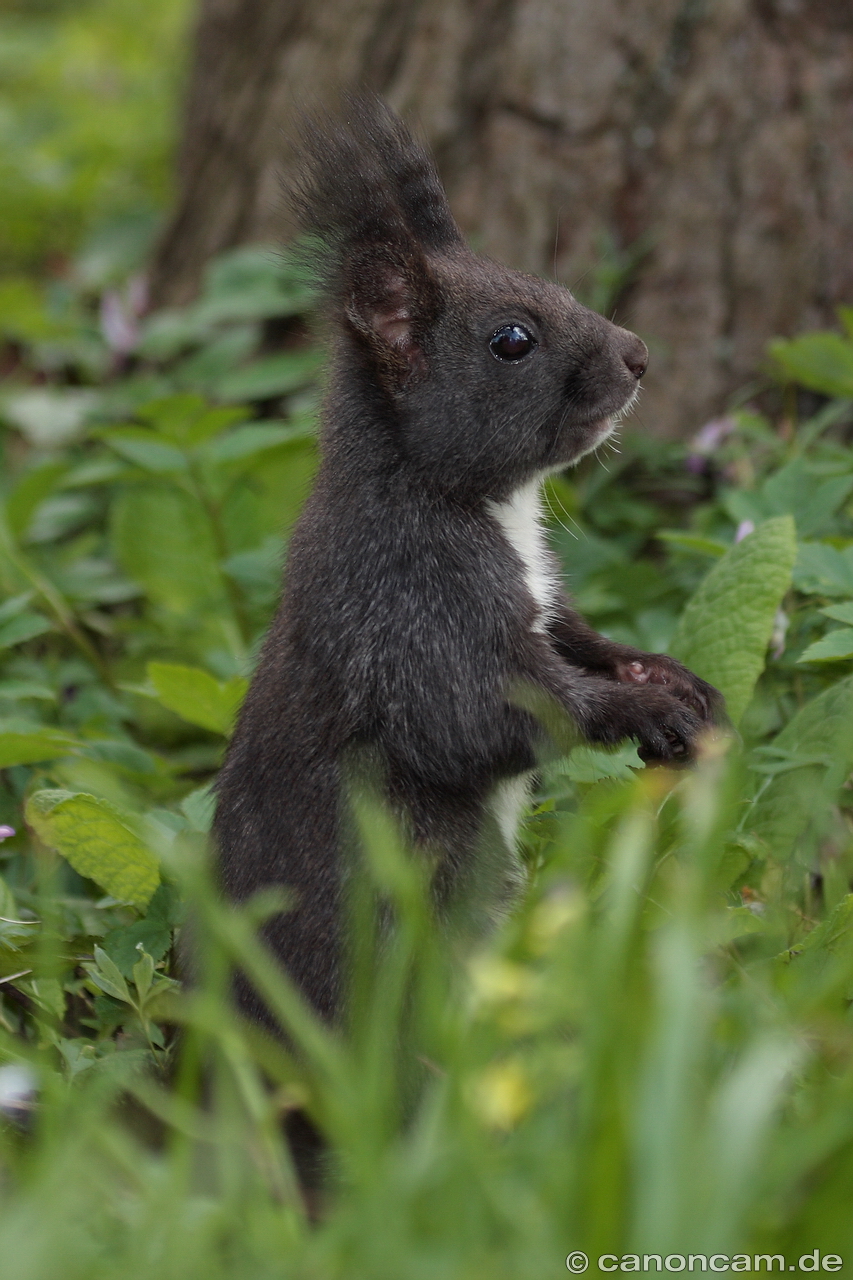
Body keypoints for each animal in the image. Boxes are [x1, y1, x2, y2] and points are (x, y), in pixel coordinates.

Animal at [211, 92, 717, 1029]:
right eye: (511, 341)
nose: (636, 355)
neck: (479, 502)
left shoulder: (542, 600)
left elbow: (576, 640)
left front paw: (664, 676)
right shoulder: (411, 603)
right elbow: (476, 718)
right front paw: (645, 714)